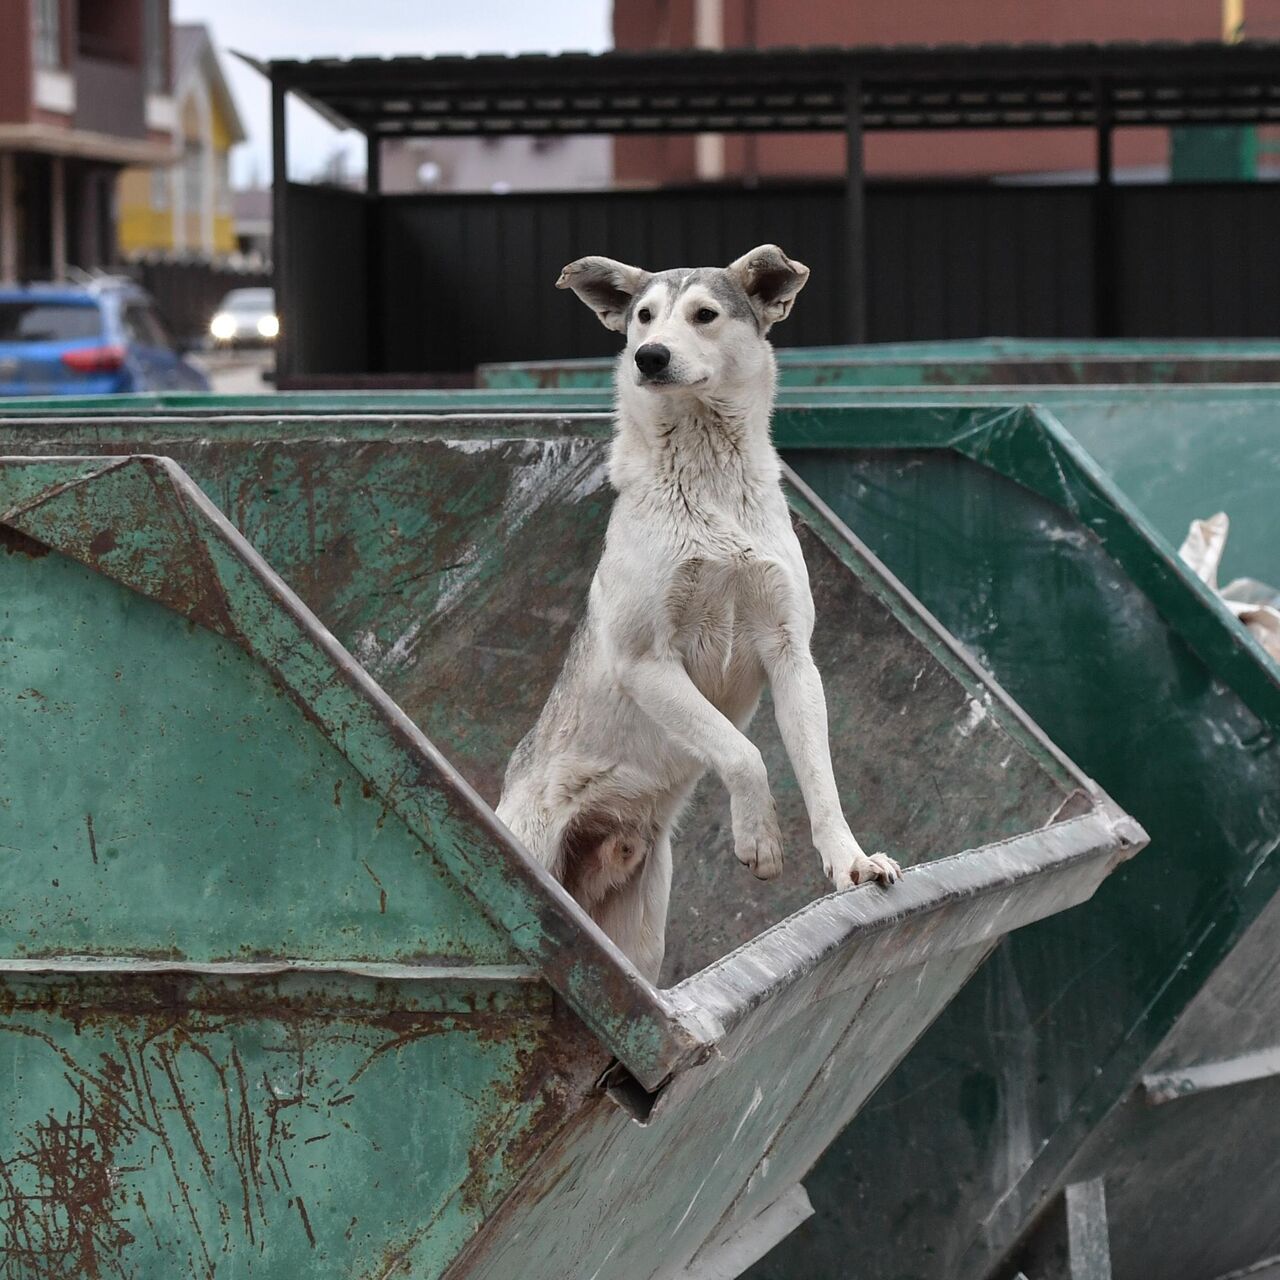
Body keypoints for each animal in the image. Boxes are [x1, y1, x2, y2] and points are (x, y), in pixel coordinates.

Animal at [496, 244, 901, 977]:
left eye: (705, 315)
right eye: (643, 316)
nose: (649, 356)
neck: (708, 479)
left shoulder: (792, 656)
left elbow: (819, 777)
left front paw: (850, 862)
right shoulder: (646, 662)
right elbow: (744, 754)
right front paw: (759, 839)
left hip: (640, 929)